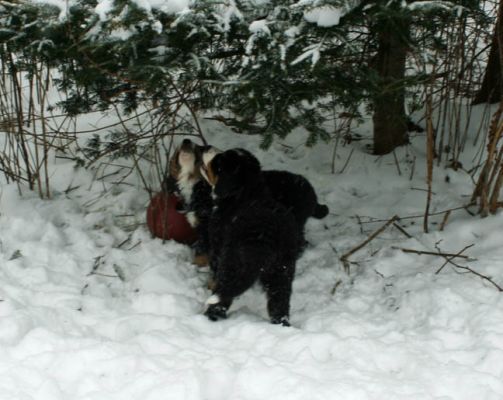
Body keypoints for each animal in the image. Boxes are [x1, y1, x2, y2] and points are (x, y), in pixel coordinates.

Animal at [202, 149, 304, 324]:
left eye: (218, 163)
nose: (207, 148)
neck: (247, 192)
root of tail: (269, 230)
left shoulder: (217, 244)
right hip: (282, 267)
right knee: (280, 299)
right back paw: (281, 323)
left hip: (233, 260)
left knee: (224, 290)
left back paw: (211, 314)